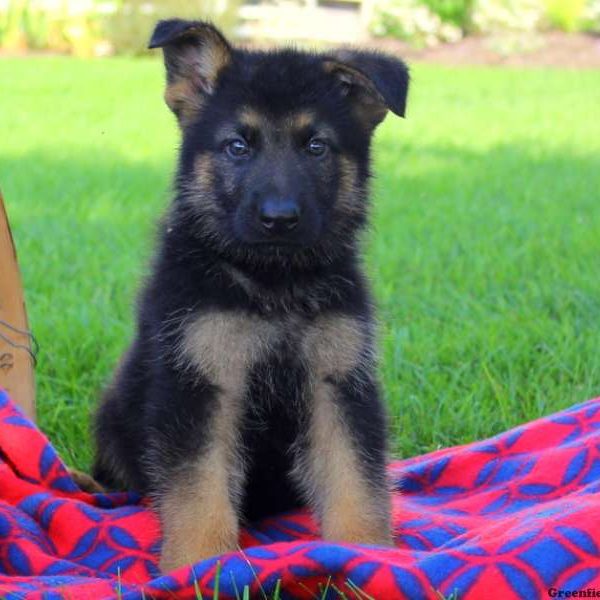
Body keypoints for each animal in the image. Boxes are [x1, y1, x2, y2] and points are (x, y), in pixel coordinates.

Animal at [92, 18, 408, 572]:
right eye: (237, 146)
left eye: (316, 147)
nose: (279, 219)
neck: (271, 284)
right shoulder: (200, 385)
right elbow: (198, 489)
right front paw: (198, 566)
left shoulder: (338, 384)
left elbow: (356, 479)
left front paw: (367, 555)